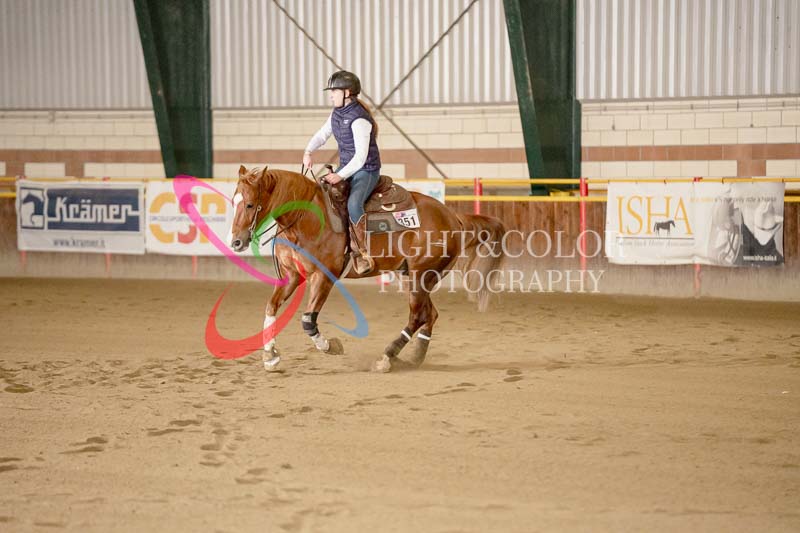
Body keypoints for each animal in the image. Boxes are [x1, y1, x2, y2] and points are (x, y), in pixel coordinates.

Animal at [228, 165, 505, 373]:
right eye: (234, 201)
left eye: (251, 204)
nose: (236, 242)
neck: (306, 219)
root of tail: (453, 217)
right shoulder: (293, 275)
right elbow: (271, 307)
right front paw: (270, 356)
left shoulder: (324, 277)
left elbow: (308, 321)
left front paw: (331, 346)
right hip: (413, 277)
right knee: (430, 314)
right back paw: (414, 357)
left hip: (421, 275)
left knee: (418, 316)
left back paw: (387, 357)